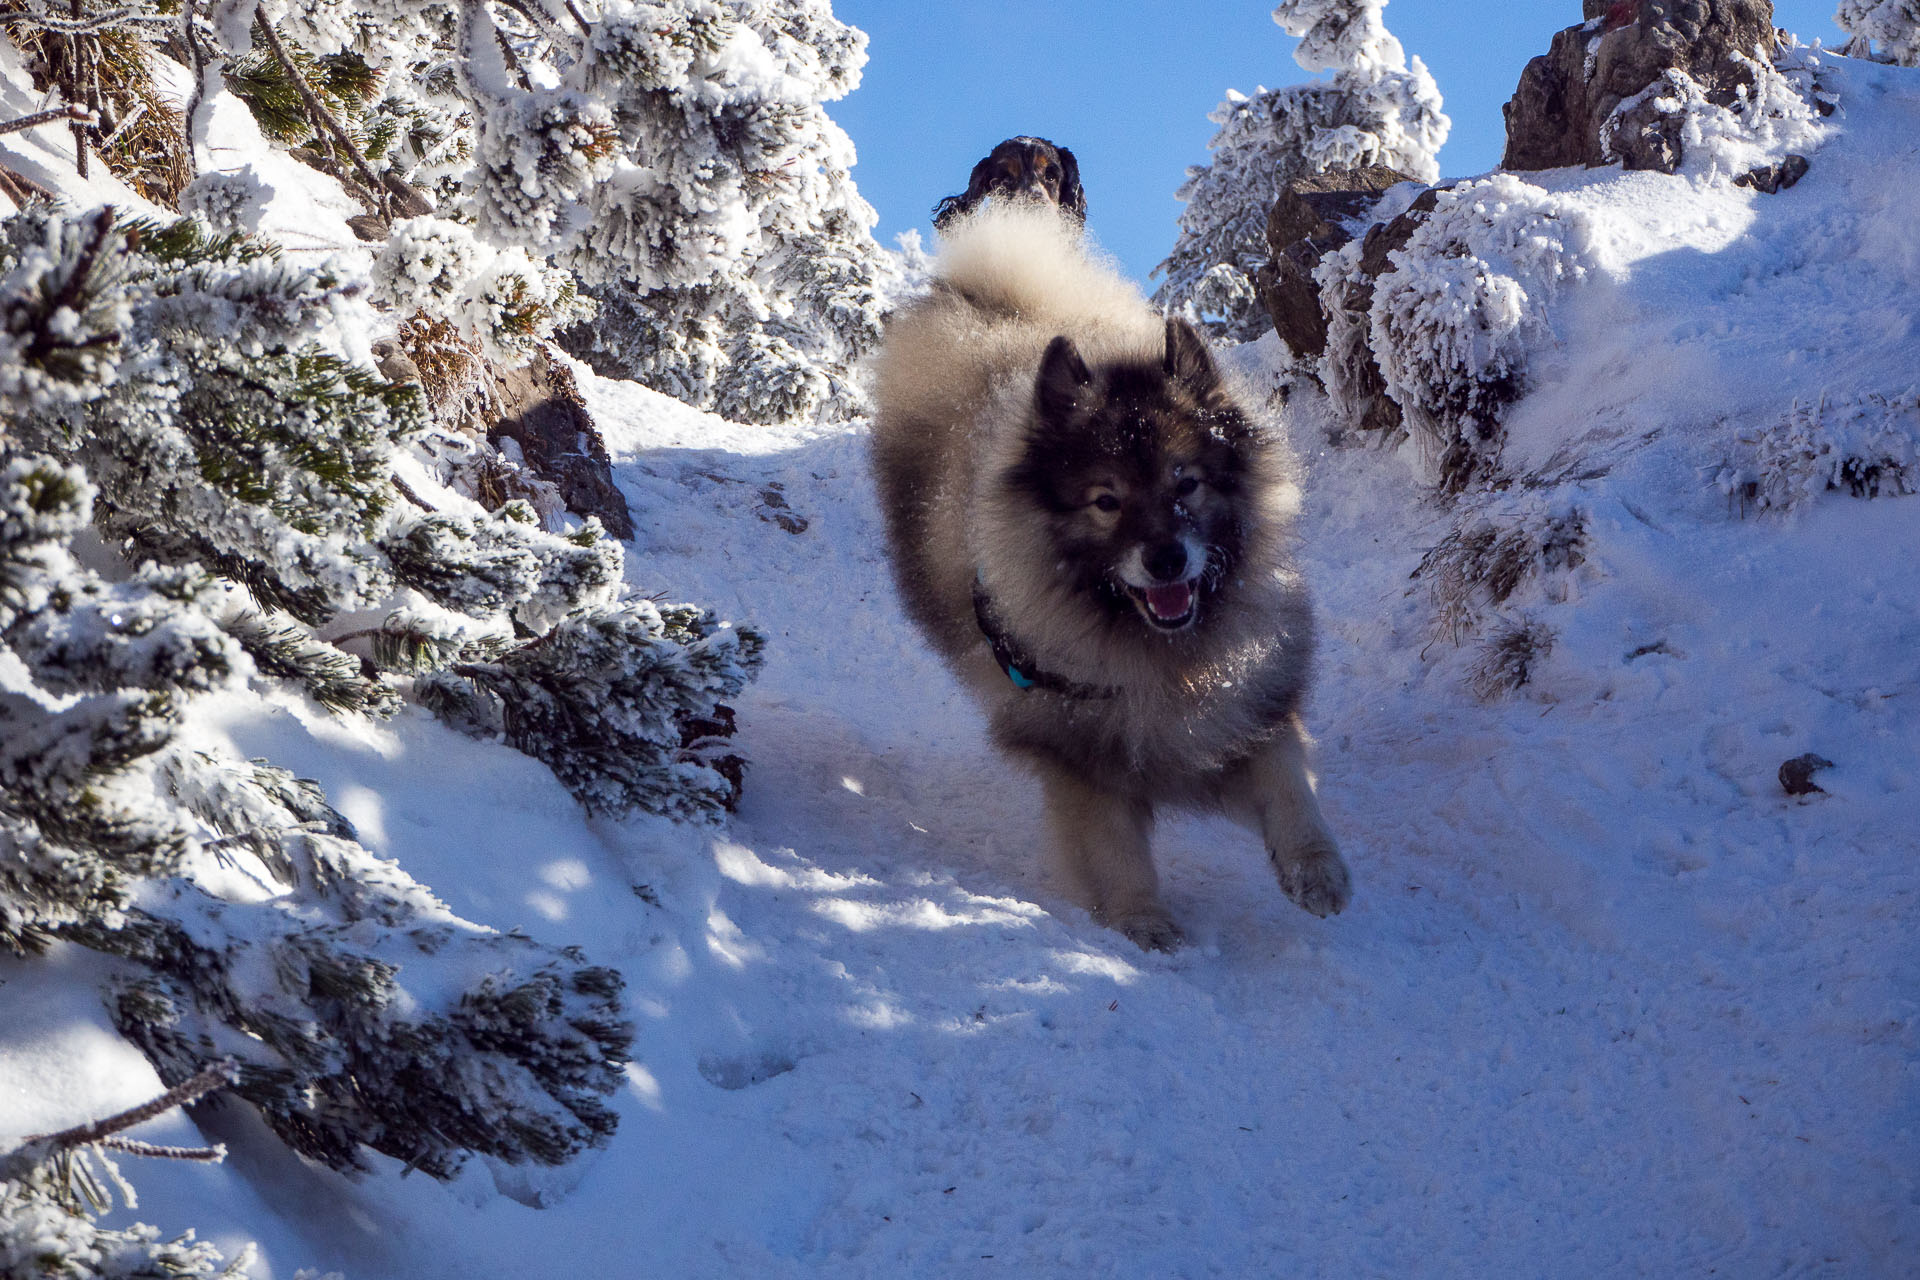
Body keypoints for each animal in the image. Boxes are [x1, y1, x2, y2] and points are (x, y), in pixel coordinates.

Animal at [875, 210, 1351, 951]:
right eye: (1107, 501)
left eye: (1185, 484)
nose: (1166, 560)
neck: (1163, 655)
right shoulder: (1083, 757)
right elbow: (1114, 849)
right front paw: (1140, 921)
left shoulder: (1246, 708)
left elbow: (1290, 786)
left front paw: (1316, 870)